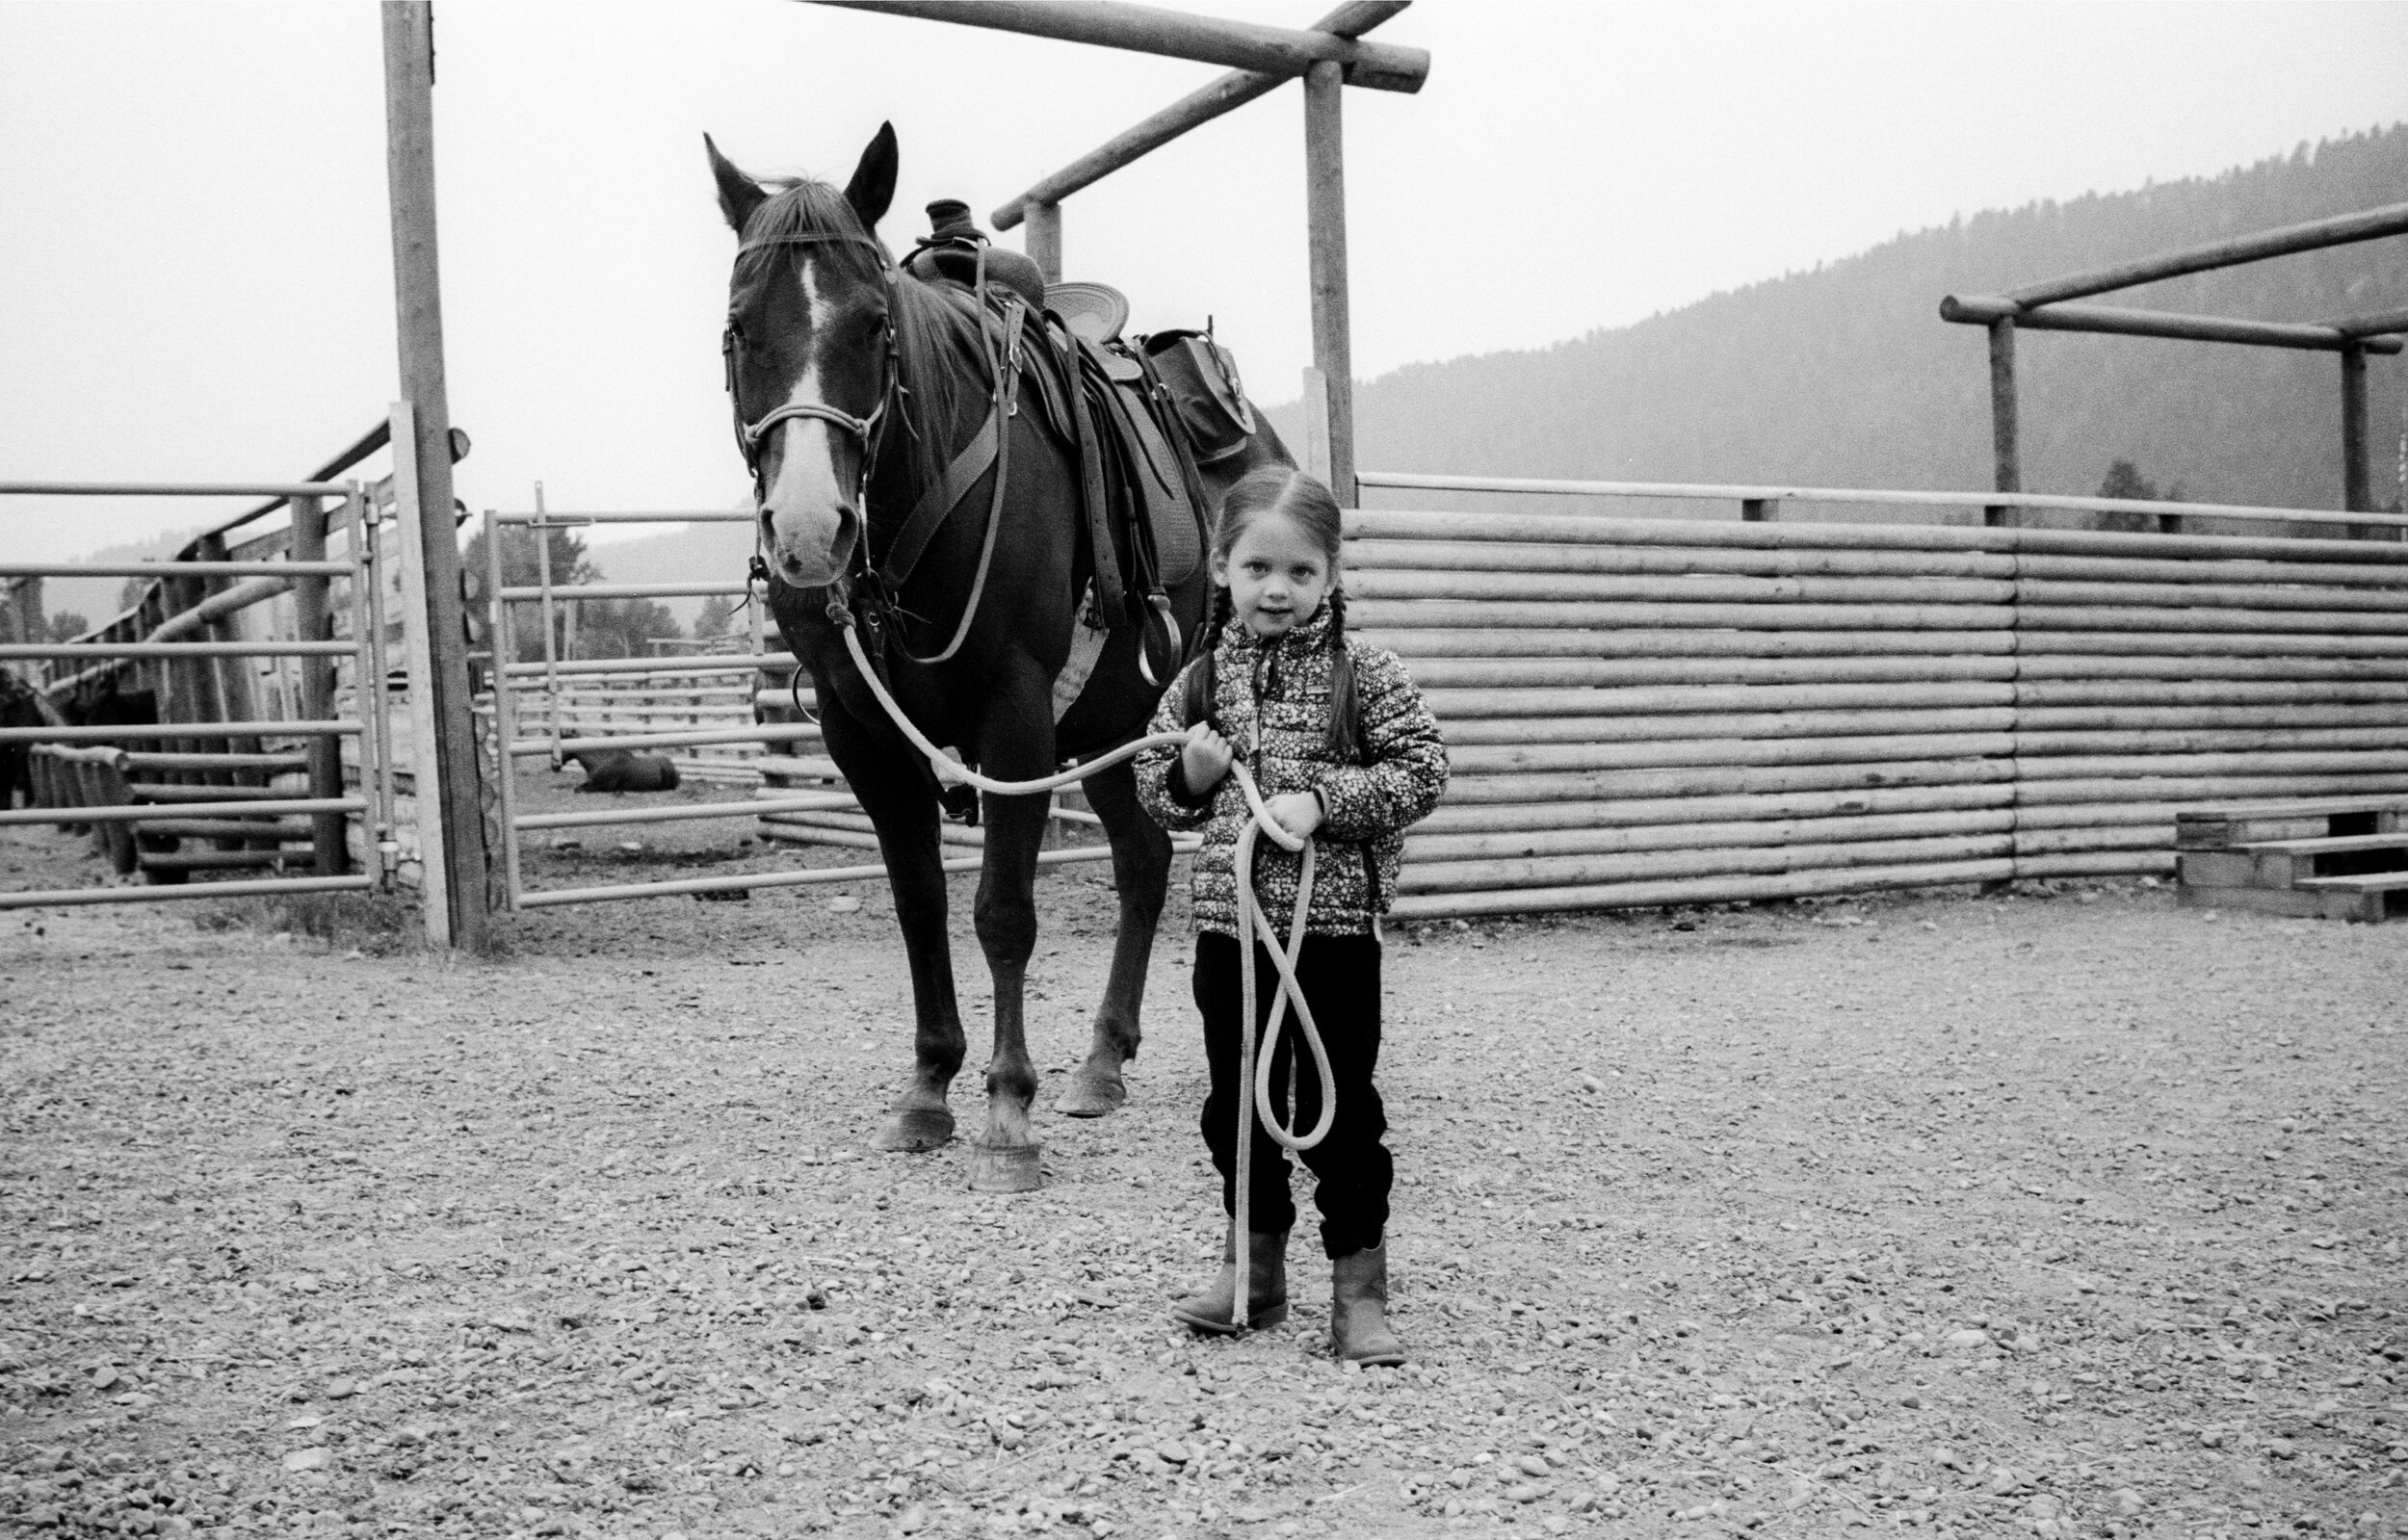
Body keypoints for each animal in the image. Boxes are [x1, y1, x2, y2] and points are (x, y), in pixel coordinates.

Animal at [703, 129, 1291, 1193]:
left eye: (873, 325)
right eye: (737, 329)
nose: (809, 529)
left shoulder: (1012, 716)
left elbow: (1003, 911)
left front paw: (1009, 1110)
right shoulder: (862, 734)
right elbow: (920, 903)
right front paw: (930, 1087)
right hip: (1112, 726)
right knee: (1142, 861)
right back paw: (1102, 1060)